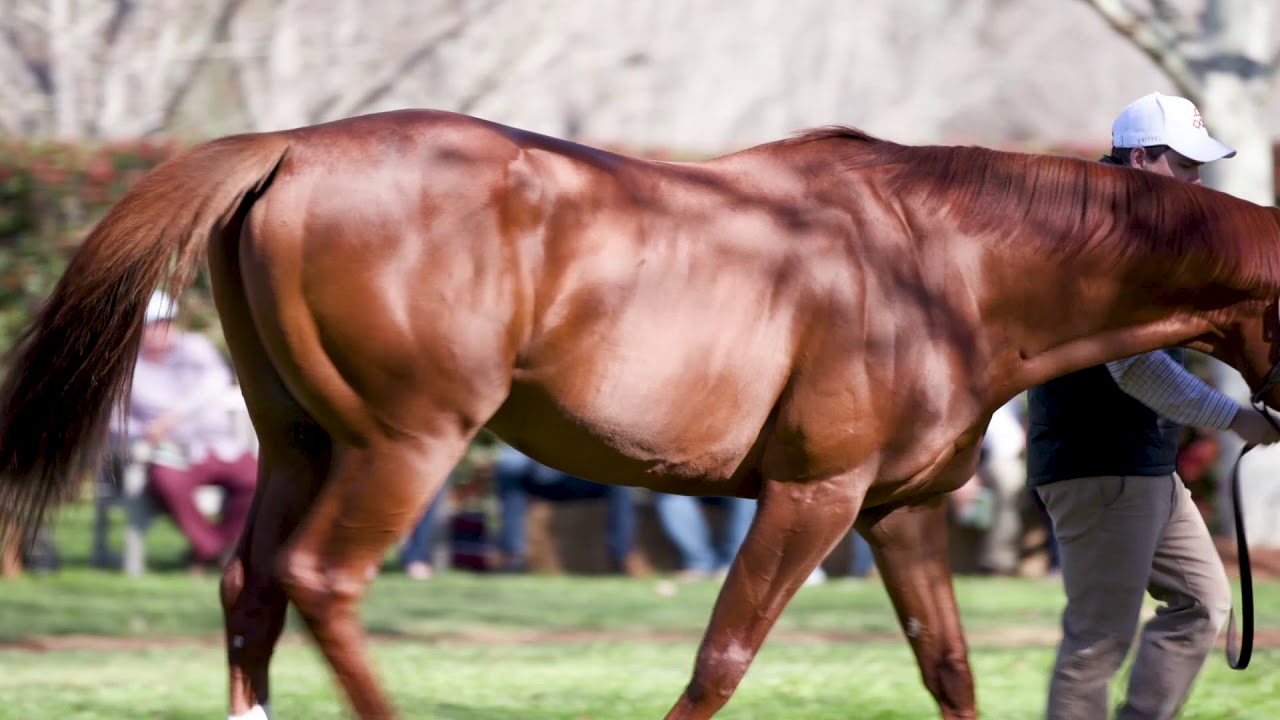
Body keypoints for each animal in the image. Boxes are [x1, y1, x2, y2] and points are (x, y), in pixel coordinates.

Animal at [3, 108, 1280, 720]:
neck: (942, 260)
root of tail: (288, 151)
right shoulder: (809, 499)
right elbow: (720, 661)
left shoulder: (898, 511)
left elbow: (947, 668)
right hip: (403, 445)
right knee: (320, 583)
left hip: (296, 442)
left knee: (250, 589)